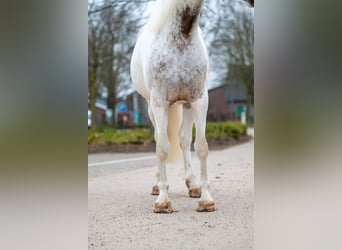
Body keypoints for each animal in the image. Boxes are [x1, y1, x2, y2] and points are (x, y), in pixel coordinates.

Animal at [130, 0, 214, 213]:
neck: (182, 37)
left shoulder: (199, 100)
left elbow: (201, 146)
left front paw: (206, 199)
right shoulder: (159, 102)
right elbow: (162, 147)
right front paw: (163, 200)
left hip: (186, 105)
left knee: (184, 140)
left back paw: (193, 185)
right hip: (151, 107)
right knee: (159, 138)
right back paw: (156, 185)